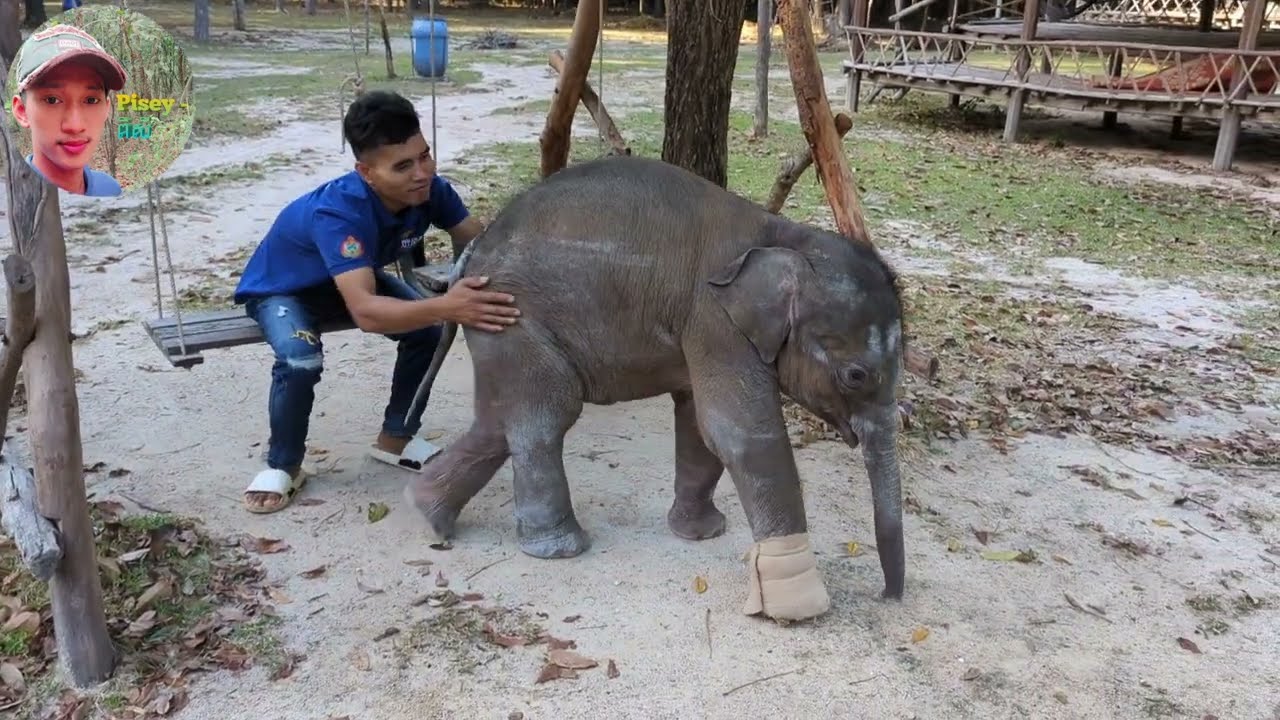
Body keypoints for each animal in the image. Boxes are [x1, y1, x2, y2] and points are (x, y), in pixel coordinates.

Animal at [403, 155, 906, 622]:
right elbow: (740, 433)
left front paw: (701, 534)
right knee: (546, 415)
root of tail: (471, 254)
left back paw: (429, 517)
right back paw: (560, 548)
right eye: (856, 376)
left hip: (498, 325)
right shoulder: (715, 319)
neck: (782, 236)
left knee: (497, 422)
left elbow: (700, 424)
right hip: (514, 316)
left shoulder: (702, 329)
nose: (888, 597)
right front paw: (799, 606)